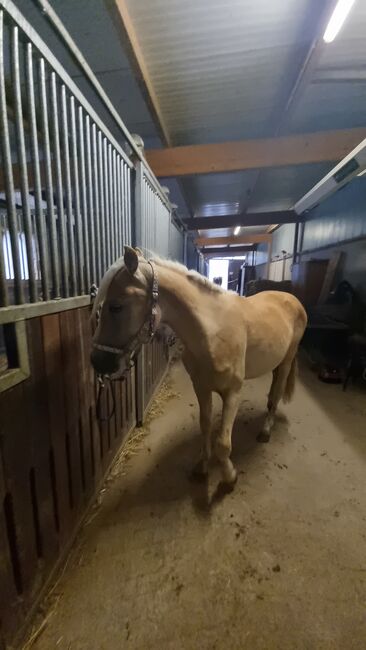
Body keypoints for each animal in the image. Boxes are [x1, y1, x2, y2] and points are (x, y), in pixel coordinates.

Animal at [90, 247, 308, 486]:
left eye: (116, 307)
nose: (96, 361)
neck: (213, 332)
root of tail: (291, 298)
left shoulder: (233, 393)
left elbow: (223, 443)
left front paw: (229, 476)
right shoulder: (201, 387)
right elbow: (205, 426)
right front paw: (202, 466)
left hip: (287, 361)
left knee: (278, 391)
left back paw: (266, 430)